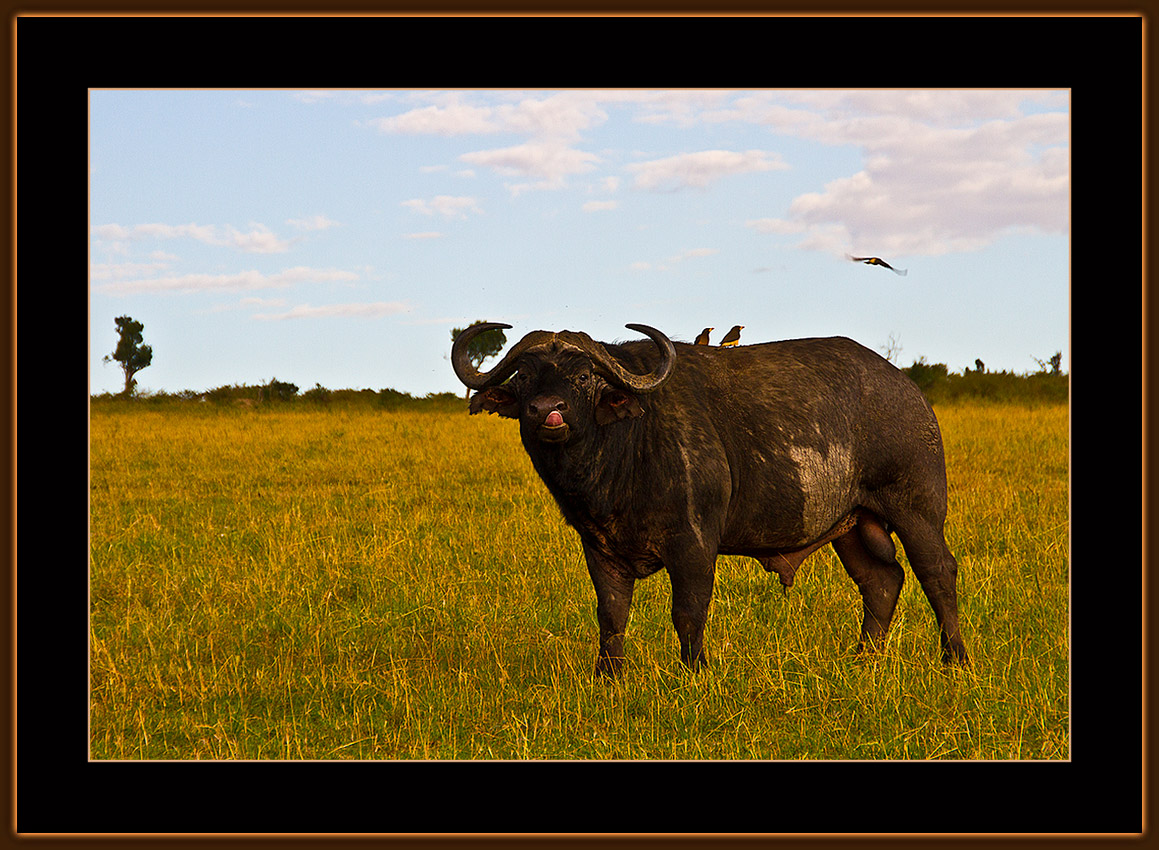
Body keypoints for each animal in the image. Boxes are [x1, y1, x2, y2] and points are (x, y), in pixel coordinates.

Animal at [452, 322, 968, 672]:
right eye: (523, 378)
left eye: (582, 377)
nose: (546, 411)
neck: (624, 449)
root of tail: (908, 392)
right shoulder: (599, 549)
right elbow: (611, 614)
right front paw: (608, 677)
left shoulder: (694, 544)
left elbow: (688, 611)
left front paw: (693, 672)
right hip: (853, 525)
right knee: (881, 581)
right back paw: (862, 660)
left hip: (917, 510)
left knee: (937, 573)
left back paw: (955, 660)